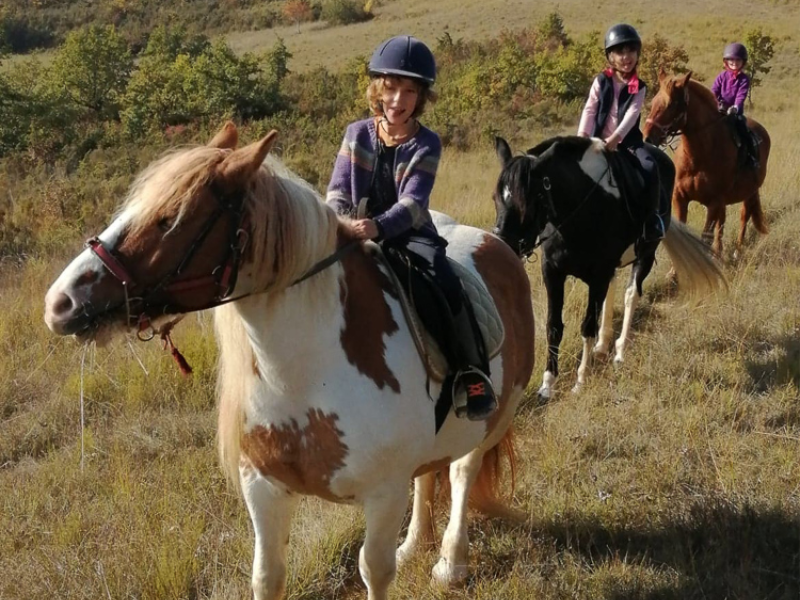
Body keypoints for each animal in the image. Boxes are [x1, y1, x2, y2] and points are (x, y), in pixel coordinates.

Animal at [42, 123, 532, 600]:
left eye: (168, 220)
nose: (60, 303)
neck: (307, 374)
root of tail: (497, 243)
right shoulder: (263, 488)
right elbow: (268, 577)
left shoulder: (383, 494)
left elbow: (374, 570)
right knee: (428, 474)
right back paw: (414, 544)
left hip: (495, 418)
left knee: (462, 472)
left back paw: (451, 563)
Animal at [490, 134, 720, 400]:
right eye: (496, 198)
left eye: (531, 199)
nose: (504, 246)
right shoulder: (553, 273)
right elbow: (553, 327)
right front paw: (547, 385)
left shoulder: (597, 276)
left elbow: (587, 326)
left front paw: (580, 380)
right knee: (613, 288)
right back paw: (602, 345)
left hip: (645, 255)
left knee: (631, 294)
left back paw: (619, 352)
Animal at [644, 71, 768, 256]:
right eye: (653, 101)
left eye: (672, 104)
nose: (647, 137)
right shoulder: (680, 197)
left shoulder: (714, 202)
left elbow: (705, 238)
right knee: (722, 223)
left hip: (750, 192)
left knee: (744, 215)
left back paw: (737, 250)